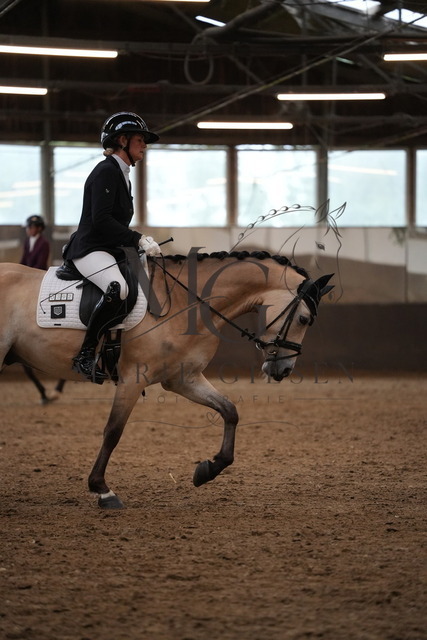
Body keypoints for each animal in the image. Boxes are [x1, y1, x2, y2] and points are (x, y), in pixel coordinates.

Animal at [0, 249, 333, 509]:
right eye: (303, 319)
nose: (283, 370)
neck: (188, 303)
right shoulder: (133, 379)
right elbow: (113, 431)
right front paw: (102, 490)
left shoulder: (183, 378)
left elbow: (230, 411)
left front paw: (208, 470)